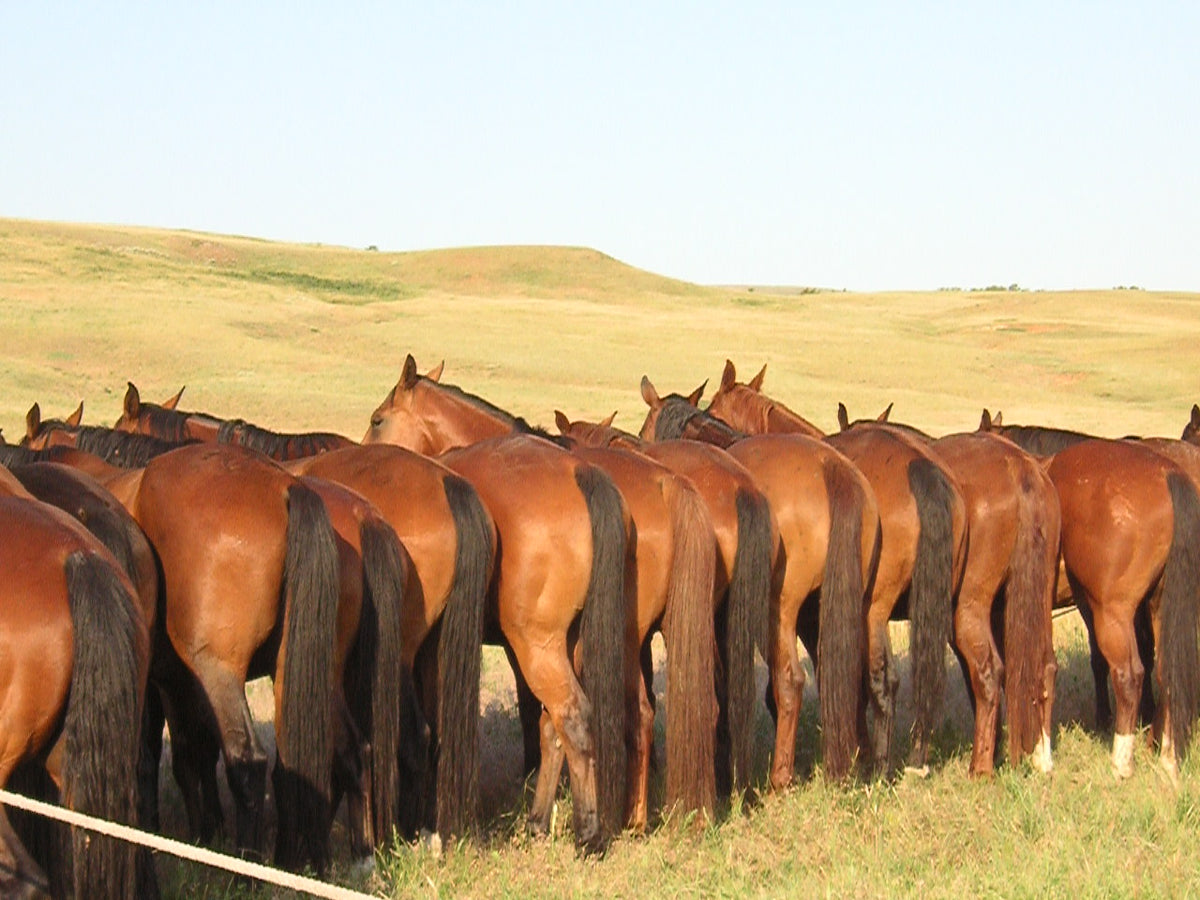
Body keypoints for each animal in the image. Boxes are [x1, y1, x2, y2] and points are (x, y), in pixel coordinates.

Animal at [22, 412, 390, 872]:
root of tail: (288, 489)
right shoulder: (176, 682)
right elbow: (189, 751)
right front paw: (206, 828)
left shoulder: (165, 683)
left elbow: (166, 756)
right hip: (310, 675)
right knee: (345, 753)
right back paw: (355, 856)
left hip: (220, 673)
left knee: (249, 763)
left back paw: (245, 872)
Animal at [363, 356, 630, 851]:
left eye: (378, 420)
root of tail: (580, 476)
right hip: (569, 645)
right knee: (554, 727)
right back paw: (539, 820)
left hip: (538, 647)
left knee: (572, 718)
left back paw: (588, 833)